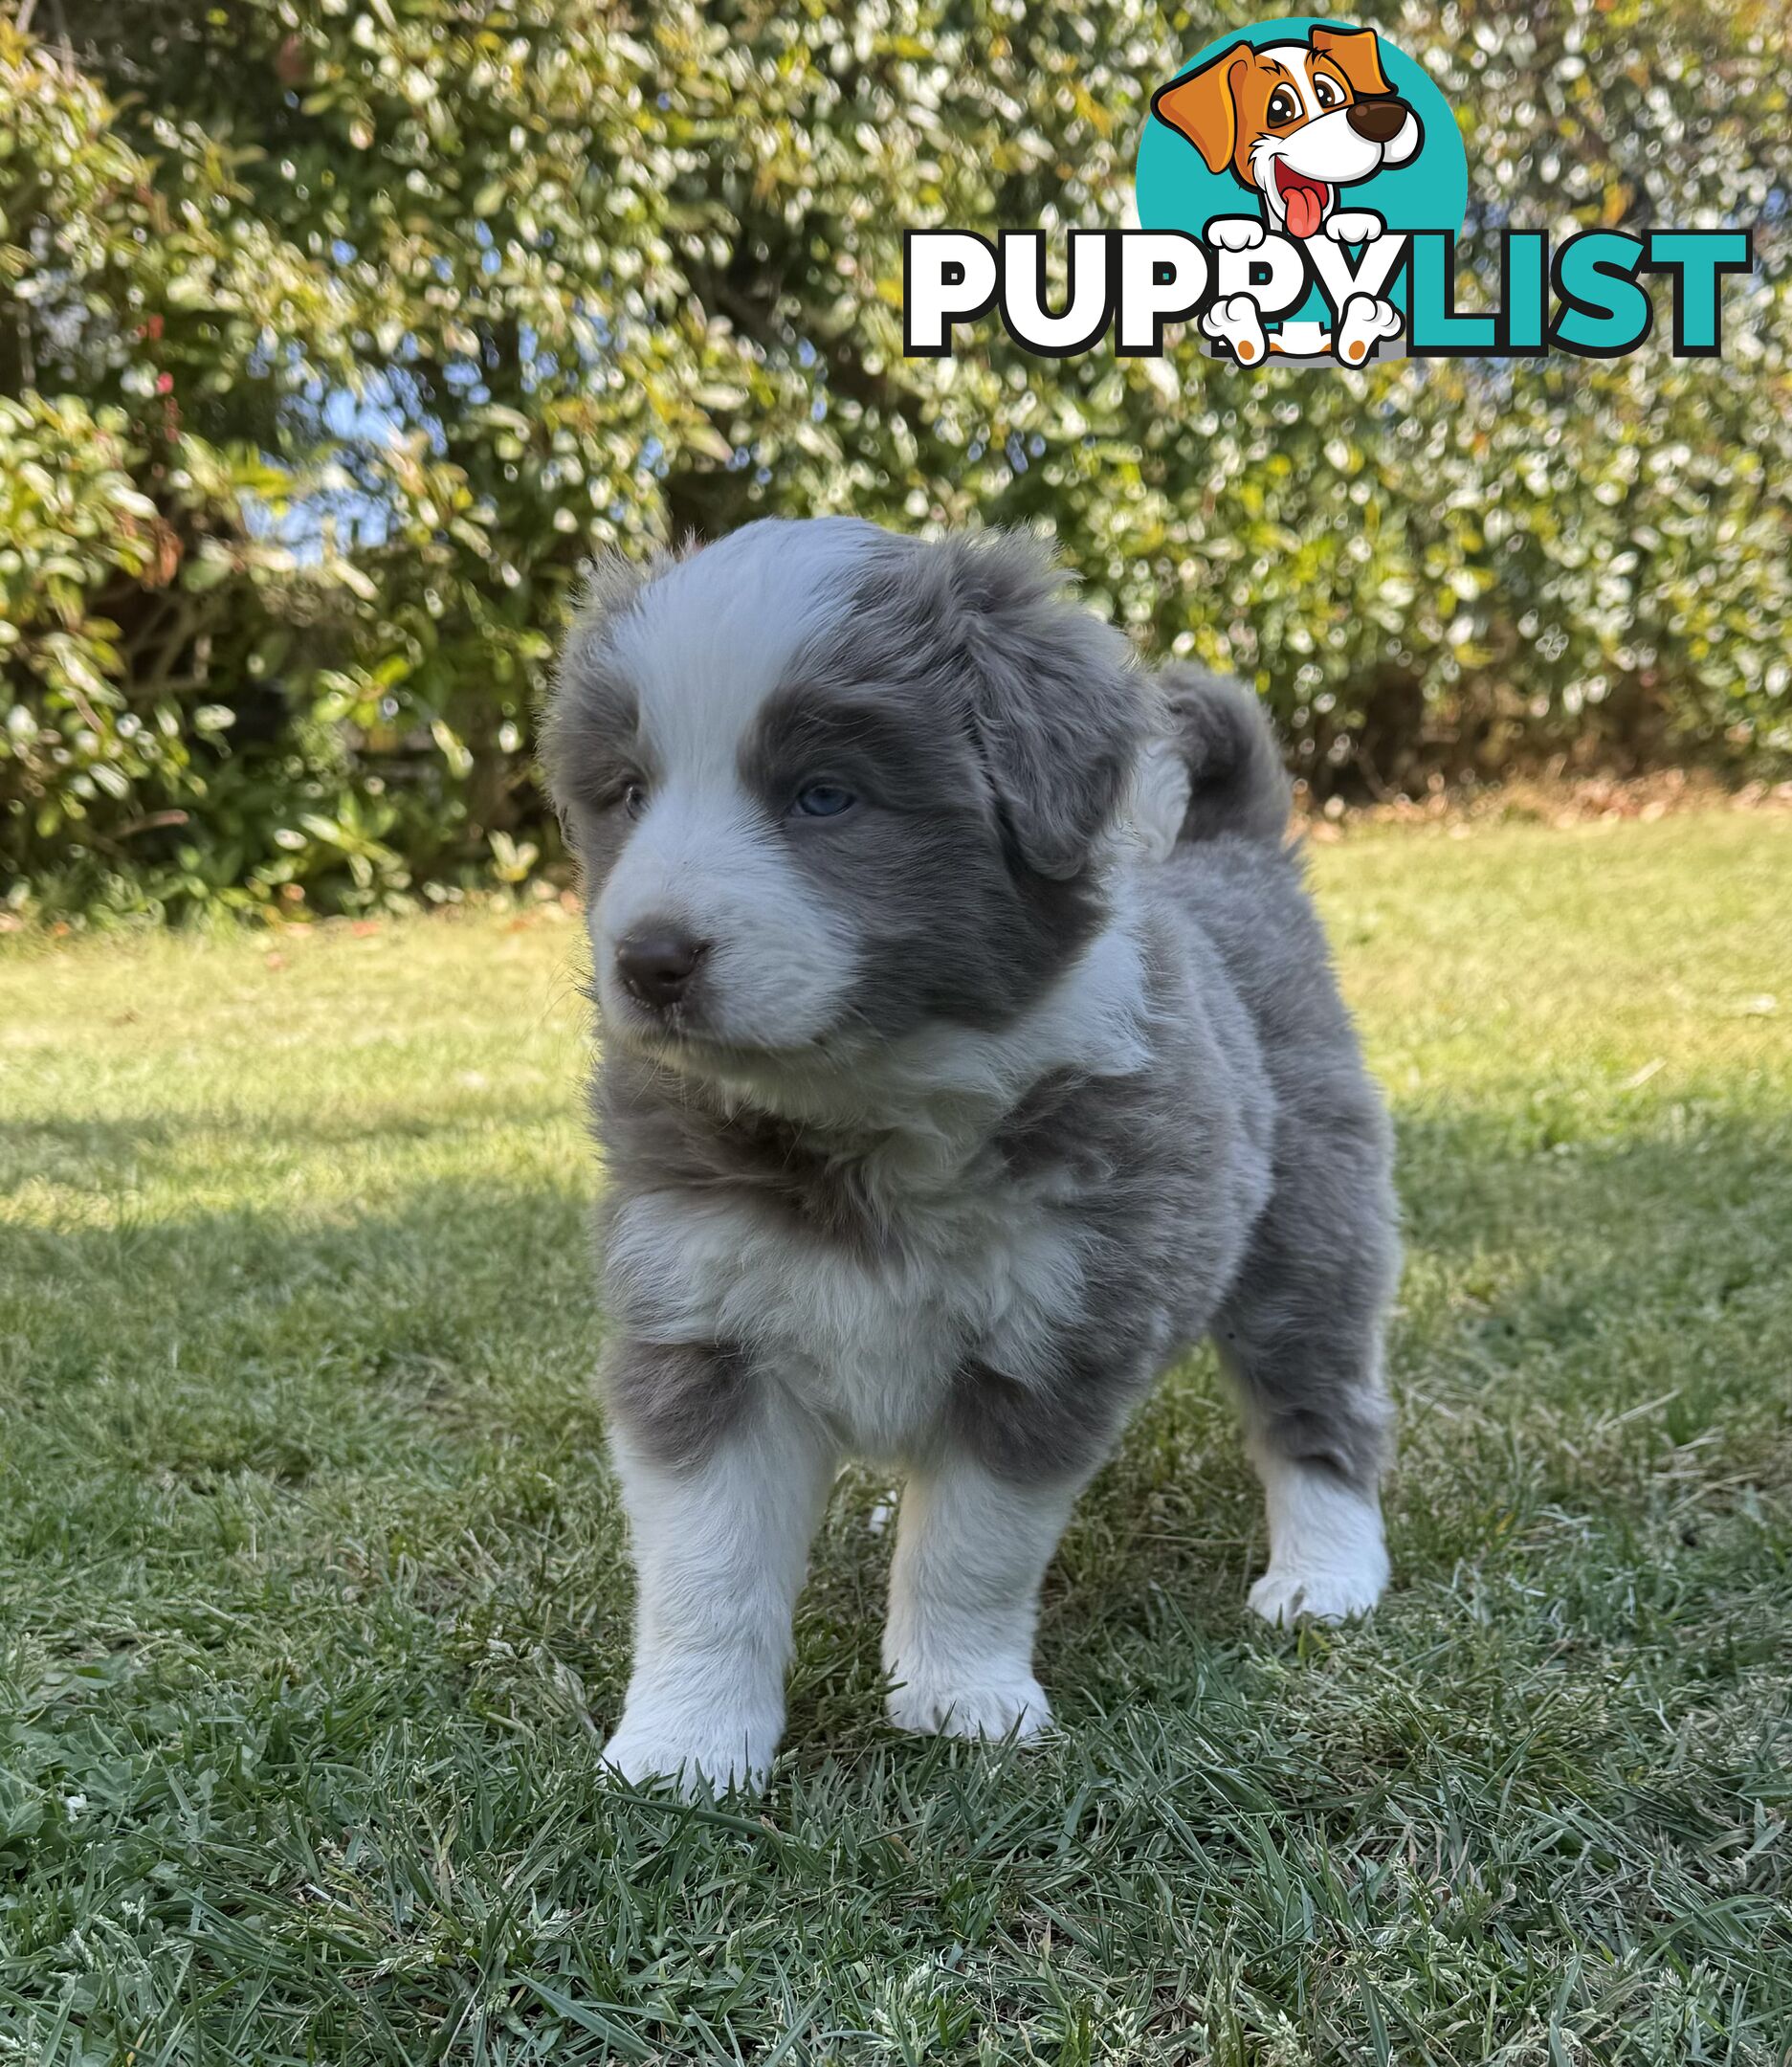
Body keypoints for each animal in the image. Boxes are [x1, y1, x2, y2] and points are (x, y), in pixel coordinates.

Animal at [545, 521, 1405, 1793]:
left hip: (1310, 1224)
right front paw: (684, 1749)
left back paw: (1324, 1577)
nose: (648, 960)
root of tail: (1234, 856)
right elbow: (709, 1573)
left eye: (823, 795)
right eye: (626, 793)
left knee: (1317, 1403)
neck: (865, 1114)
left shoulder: (1054, 1339)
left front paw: (959, 1703)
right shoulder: (696, 1326)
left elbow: (968, 1547)